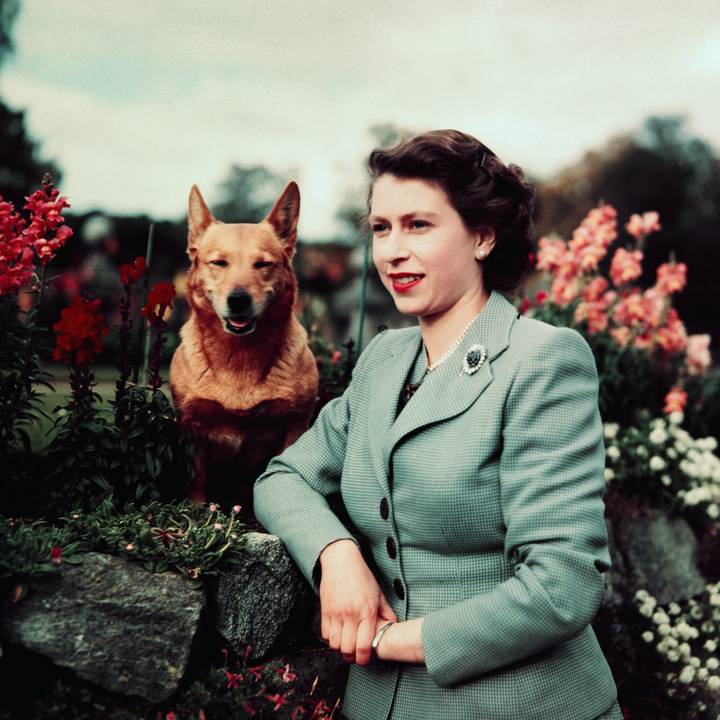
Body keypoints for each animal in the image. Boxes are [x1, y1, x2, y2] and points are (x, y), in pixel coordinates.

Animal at [170, 183, 320, 516]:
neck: (239, 357)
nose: (238, 300)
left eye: (263, 264)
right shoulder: (191, 426)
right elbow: (197, 479)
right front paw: (196, 513)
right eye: (218, 263)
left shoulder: (294, 426)